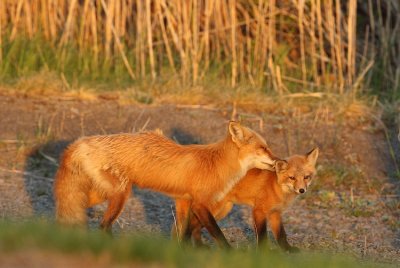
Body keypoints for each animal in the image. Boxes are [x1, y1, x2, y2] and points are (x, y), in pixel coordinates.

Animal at [53, 121, 278, 247]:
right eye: (263, 148)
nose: (278, 161)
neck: (216, 164)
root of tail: (79, 143)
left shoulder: (183, 201)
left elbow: (182, 234)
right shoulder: (200, 204)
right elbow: (218, 234)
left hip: (100, 194)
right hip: (120, 194)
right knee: (103, 226)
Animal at [175, 149, 318, 251]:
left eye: (306, 177)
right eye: (292, 178)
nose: (302, 190)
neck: (276, 186)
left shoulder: (275, 213)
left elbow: (281, 235)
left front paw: (287, 249)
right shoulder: (259, 211)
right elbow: (262, 235)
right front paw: (265, 252)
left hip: (223, 210)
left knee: (194, 226)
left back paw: (197, 246)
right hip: (215, 210)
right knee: (190, 225)